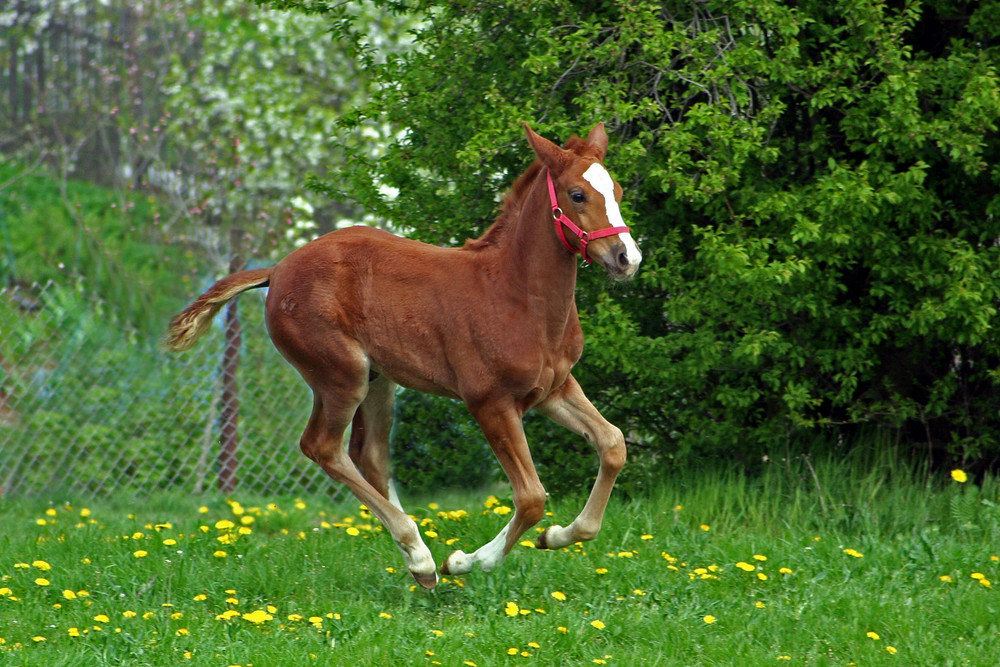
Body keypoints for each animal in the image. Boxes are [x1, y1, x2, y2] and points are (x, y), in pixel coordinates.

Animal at [166, 122, 640, 588]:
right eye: (577, 195)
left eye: (617, 190)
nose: (627, 258)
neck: (516, 294)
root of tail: (278, 269)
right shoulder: (490, 402)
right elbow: (531, 497)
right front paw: (466, 561)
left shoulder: (554, 389)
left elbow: (613, 444)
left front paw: (557, 536)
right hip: (342, 375)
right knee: (323, 446)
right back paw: (421, 555)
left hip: (379, 379)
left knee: (369, 454)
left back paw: (416, 555)